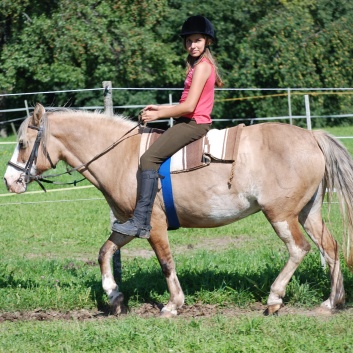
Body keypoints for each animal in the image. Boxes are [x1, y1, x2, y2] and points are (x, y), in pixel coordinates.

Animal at [4, 102, 352, 316]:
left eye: (22, 144)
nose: (9, 181)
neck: (121, 156)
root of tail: (312, 136)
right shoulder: (129, 224)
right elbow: (105, 252)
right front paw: (115, 297)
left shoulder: (154, 225)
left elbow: (166, 263)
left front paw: (172, 304)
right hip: (308, 212)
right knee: (331, 247)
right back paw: (331, 302)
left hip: (281, 214)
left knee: (299, 248)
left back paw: (275, 297)